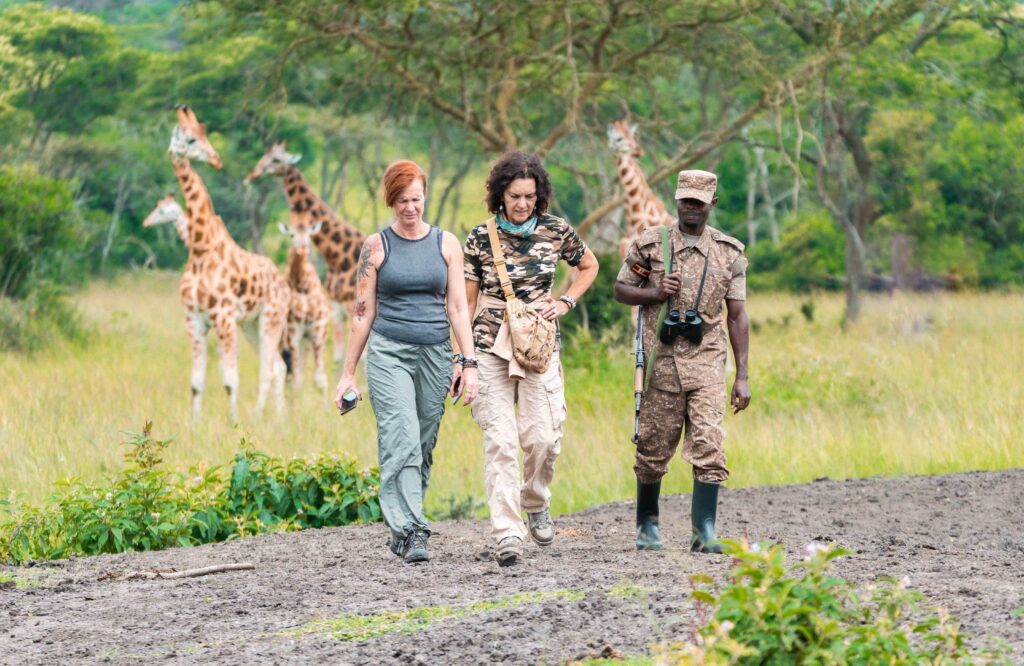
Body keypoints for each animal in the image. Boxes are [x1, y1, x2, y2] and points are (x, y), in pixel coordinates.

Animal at [166, 105, 288, 418]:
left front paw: (234, 422)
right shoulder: (194, 320)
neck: (200, 248)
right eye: (191, 139)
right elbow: (196, 383)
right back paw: (277, 417)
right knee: (279, 366)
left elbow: (230, 380)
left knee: (270, 368)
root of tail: (283, 281)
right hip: (250, 325)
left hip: (271, 318)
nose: (216, 160)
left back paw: (262, 416)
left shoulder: (223, 317)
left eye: (204, 134)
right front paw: (193, 423)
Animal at [244, 142, 364, 362]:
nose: (252, 175)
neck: (337, 258)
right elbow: (339, 358)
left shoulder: (347, 305)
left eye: (276, 160)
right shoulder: (337, 307)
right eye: (264, 156)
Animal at [278, 218, 329, 393]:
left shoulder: (318, 328)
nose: (302, 250)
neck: (302, 284)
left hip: (306, 341)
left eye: (309, 235)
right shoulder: (293, 330)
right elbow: (297, 378)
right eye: (291, 235)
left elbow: (320, 379)